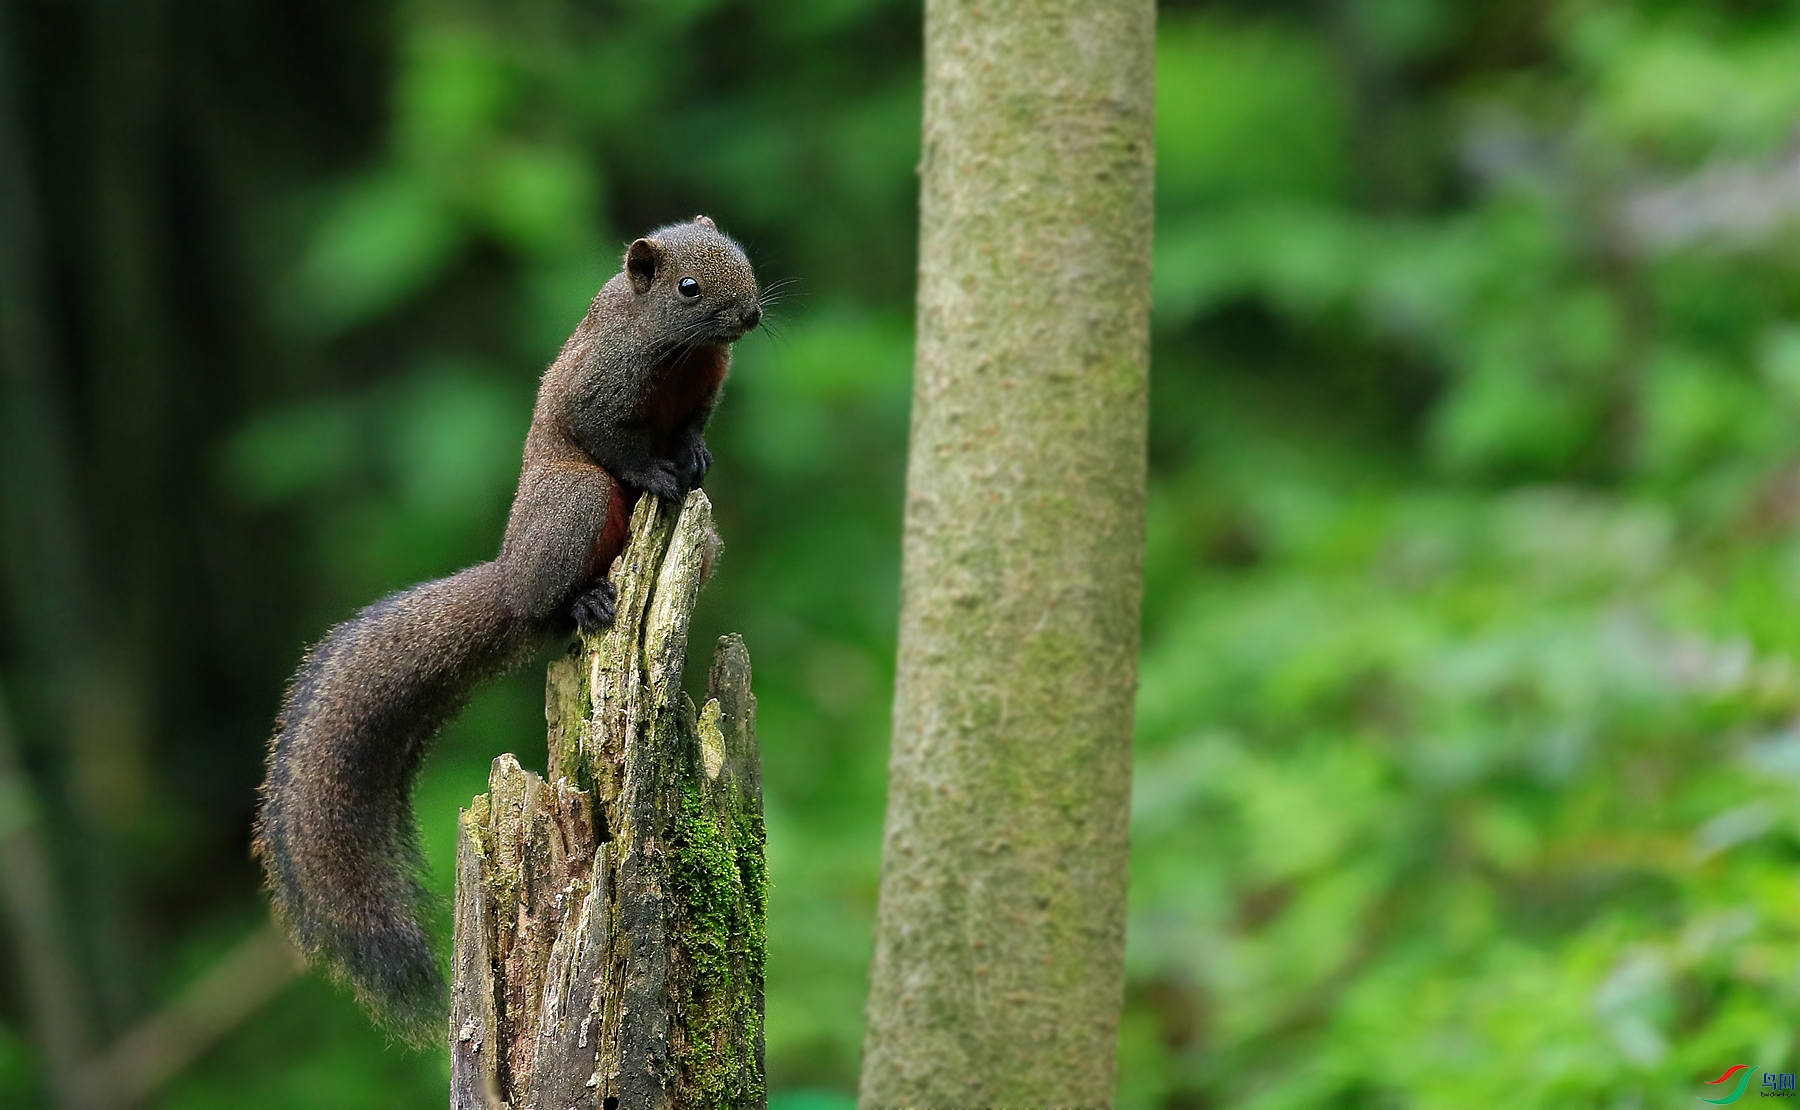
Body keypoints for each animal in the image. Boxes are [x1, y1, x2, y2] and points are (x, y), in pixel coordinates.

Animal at [252, 214, 759, 1036]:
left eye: (743, 259)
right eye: (688, 288)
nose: (748, 315)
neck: (674, 351)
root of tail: (509, 580)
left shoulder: (701, 391)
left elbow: (691, 432)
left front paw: (693, 459)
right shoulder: (595, 392)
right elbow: (611, 442)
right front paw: (655, 472)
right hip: (573, 503)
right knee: (556, 587)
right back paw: (583, 601)